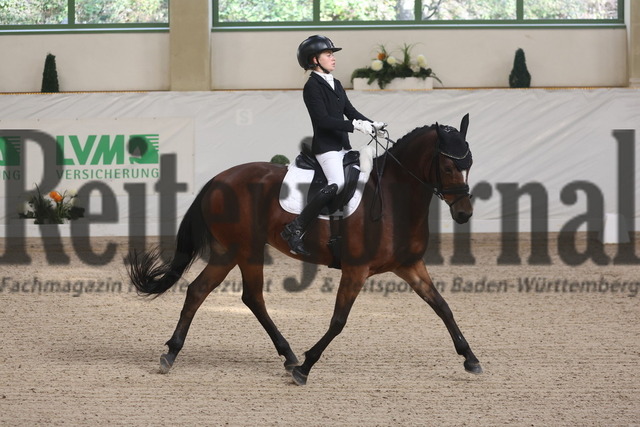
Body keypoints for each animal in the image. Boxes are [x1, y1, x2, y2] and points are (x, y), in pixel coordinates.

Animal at [127, 114, 482, 388]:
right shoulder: (356, 269)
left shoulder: (409, 265)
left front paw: (471, 358)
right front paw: (306, 367)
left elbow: (443, 307)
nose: (464, 214)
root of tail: (218, 179)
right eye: (448, 166)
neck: (394, 200)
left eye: (470, 163)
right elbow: (338, 320)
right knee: (244, 296)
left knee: (207, 292)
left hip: (230, 252)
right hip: (245, 250)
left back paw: (179, 352)